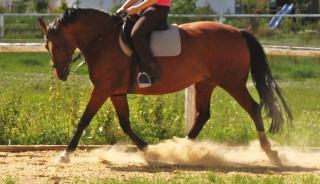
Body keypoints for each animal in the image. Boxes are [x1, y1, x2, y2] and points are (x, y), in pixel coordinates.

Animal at [38, 7, 292, 165]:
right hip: (205, 83)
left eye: (58, 44)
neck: (102, 39)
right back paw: (182, 149)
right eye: (46, 46)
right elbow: (125, 123)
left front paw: (64, 155)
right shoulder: (116, 92)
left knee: (254, 108)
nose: (61, 73)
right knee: (202, 114)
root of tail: (239, 32)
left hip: (233, 83)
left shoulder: (102, 90)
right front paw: (149, 149)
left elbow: (84, 120)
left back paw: (271, 153)